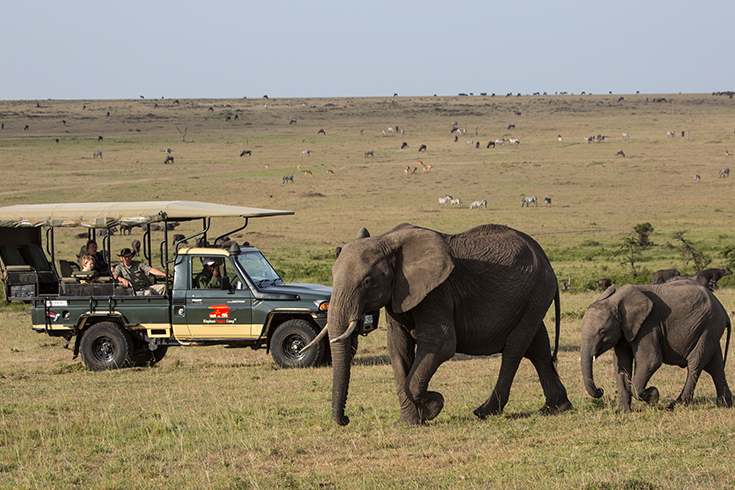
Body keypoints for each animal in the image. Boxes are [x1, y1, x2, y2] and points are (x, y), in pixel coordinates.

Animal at [311, 223, 573, 426]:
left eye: (367, 281)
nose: (346, 420)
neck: (387, 240)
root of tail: (546, 260)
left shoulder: (436, 292)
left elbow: (440, 345)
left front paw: (433, 406)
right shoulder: (397, 296)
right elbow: (398, 348)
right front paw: (407, 423)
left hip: (536, 292)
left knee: (515, 349)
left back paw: (485, 411)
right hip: (532, 298)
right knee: (538, 346)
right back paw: (556, 407)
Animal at [581, 282, 733, 413]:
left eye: (602, 332)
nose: (600, 390)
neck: (615, 301)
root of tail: (723, 311)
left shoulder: (648, 325)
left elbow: (651, 360)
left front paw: (654, 397)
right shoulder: (623, 331)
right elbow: (621, 365)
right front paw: (624, 412)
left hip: (709, 325)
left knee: (695, 363)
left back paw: (675, 405)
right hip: (710, 329)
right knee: (715, 366)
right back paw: (726, 404)